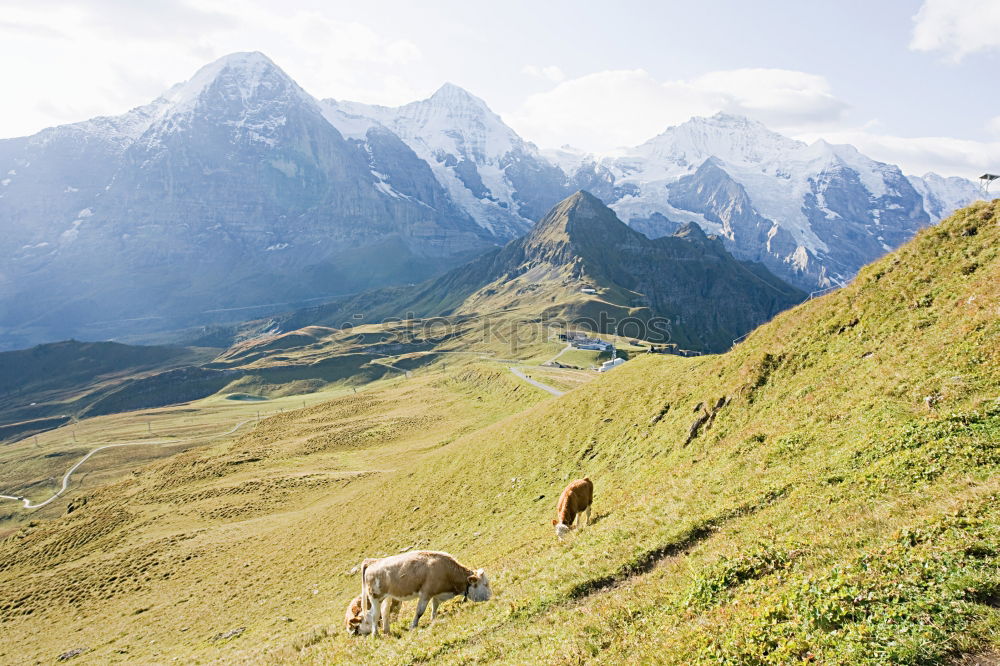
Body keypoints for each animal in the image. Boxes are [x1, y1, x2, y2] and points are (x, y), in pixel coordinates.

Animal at [360, 548, 492, 636]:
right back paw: (375, 634)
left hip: (386, 597)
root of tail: (372, 563)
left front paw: (433, 618)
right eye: (485, 584)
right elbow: (419, 611)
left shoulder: (436, 593)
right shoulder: (425, 593)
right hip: (375, 596)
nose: (491, 596)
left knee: (384, 612)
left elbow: (435, 607)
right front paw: (413, 626)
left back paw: (386, 631)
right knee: (374, 614)